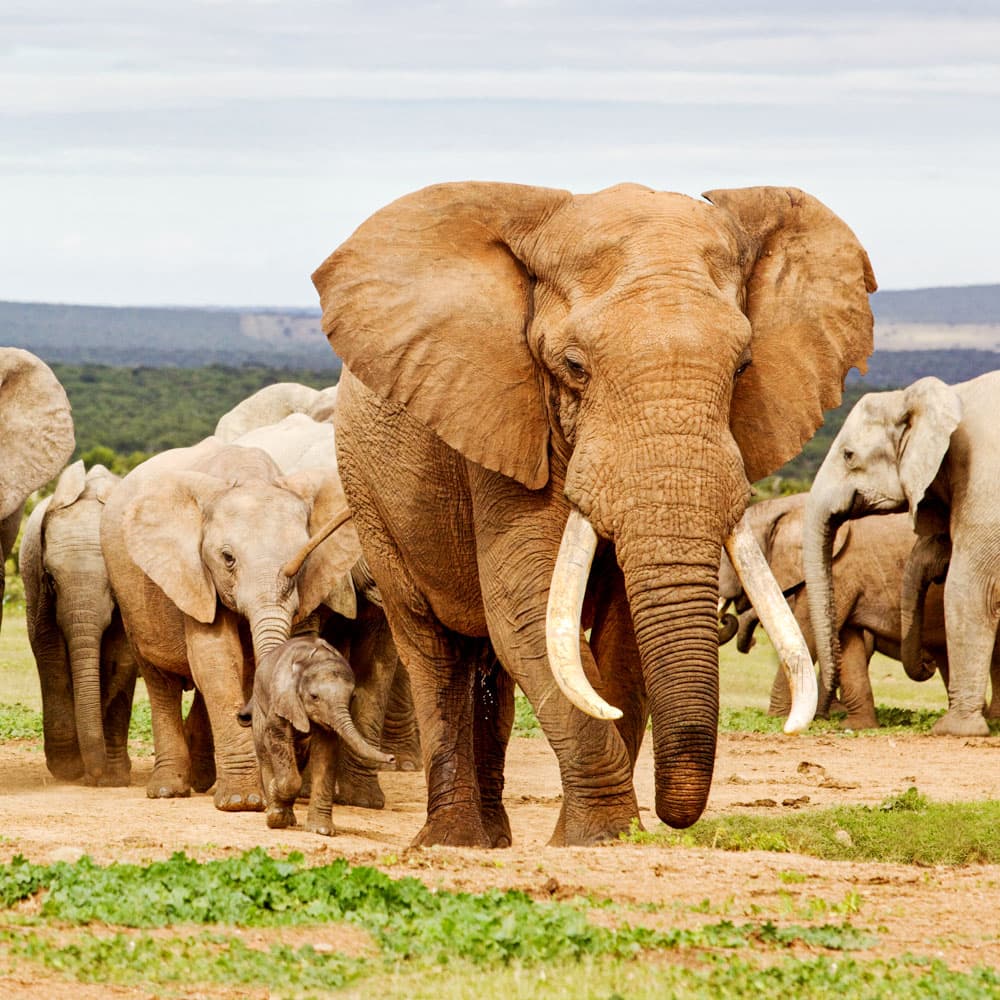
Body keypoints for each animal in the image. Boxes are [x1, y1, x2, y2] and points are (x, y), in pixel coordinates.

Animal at [20, 461, 137, 784]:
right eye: (51, 579)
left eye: (112, 583)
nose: (94, 774)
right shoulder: (37, 585)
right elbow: (50, 652)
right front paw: (68, 769)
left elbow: (121, 657)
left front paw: (112, 779)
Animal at [100, 437, 360, 809]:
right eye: (227, 558)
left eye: (305, 554)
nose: (246, 715)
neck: (250, 476)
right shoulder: (196, 574)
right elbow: (217, 660)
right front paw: (243, 802)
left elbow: (247, 665)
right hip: (130, 599)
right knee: (159, 680)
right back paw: (168, 790)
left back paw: (200, 780)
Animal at [239, 635, 394, 834]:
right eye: (314, 697)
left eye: (351, 698)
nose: (392, 758)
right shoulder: (282, 697)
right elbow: (278, 737)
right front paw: (275, 795)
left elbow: (326, 751)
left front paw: (322, 831)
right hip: (260, 703)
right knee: (265, 751)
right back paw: (277, 814)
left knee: (299, 756)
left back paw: (288, 817)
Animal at [311, 180, 876, 847]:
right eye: (573, 367)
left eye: (742, 368)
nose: (670, 817)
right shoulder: (505, 418)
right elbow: (527, 605)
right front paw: (602, 837)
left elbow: (620, 634)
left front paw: (606, 834)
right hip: (370, 495)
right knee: (433, 646)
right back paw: (453, 841)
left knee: (489, 663)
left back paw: (496, 839)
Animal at [719, 492, 951, 729]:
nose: (728, 619)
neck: (788, 506)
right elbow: (845, 639)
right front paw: (853, 725)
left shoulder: (838, 566)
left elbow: (808, 631)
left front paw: (779, 718)